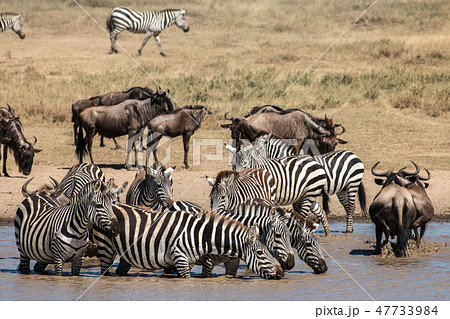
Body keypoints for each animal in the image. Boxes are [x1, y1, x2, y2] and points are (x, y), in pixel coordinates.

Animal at [94, 208, 284, 280]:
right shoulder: (182, 259)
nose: (281, 272)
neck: (201, 236)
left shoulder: (189, 261)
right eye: (260, 253)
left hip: (124, 254)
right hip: (105, 248)